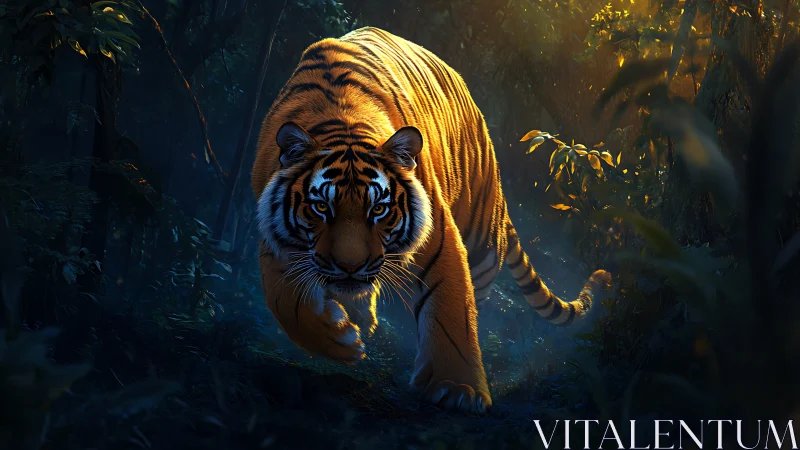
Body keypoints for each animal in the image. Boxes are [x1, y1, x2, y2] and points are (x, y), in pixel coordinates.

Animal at [252, 27, 611, 414]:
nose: (350, 266)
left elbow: (452, 314)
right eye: (321, 208)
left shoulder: (439, 237)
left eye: (378, 209)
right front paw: (340, 340)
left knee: (476, 296)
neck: (341, 117)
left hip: (481, 239)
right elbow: (285, 302)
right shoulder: (276, 241)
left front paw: (458, 389)